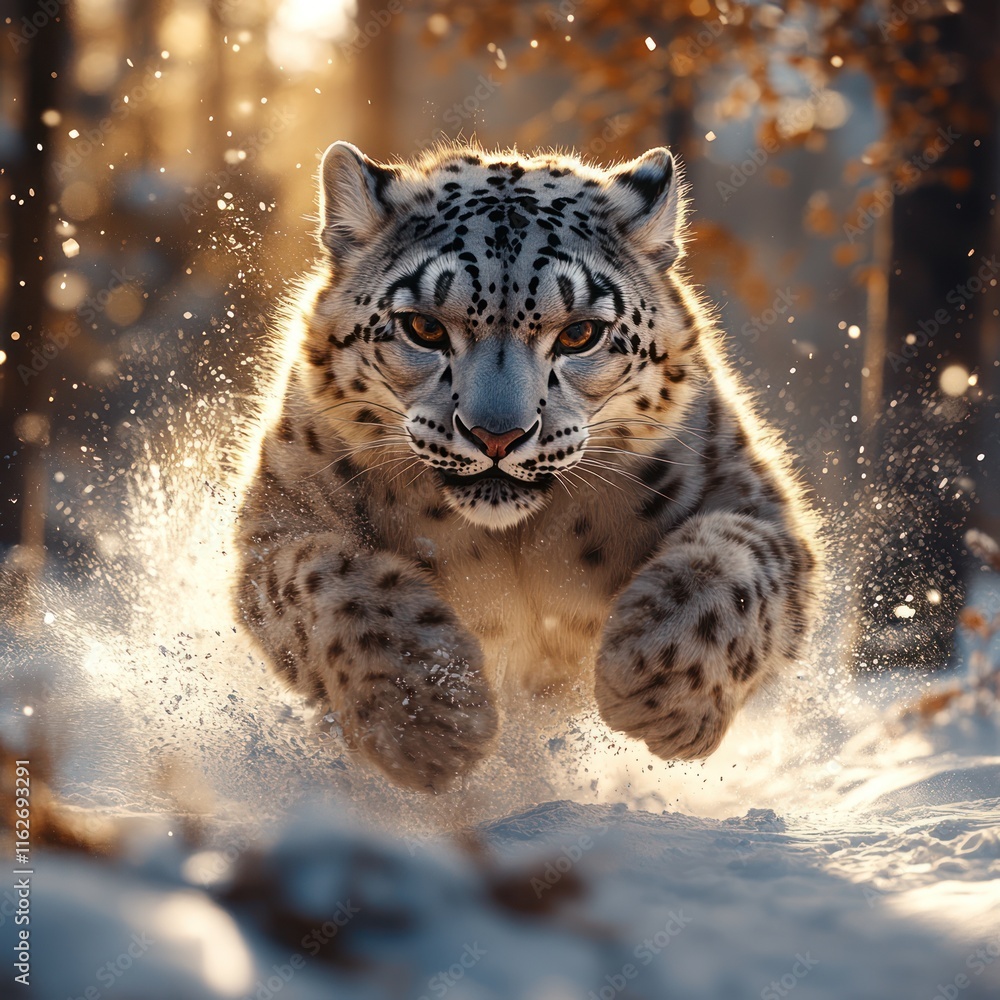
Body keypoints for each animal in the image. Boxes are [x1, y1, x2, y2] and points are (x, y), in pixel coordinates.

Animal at [232, 139, 821, 792]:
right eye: (424, 326)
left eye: (581, 334)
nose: (498, 435)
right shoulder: (280, 518)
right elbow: (330, 584)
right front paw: (430, 721)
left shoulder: (750, 499)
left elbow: (733, 569)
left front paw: (656, 687)